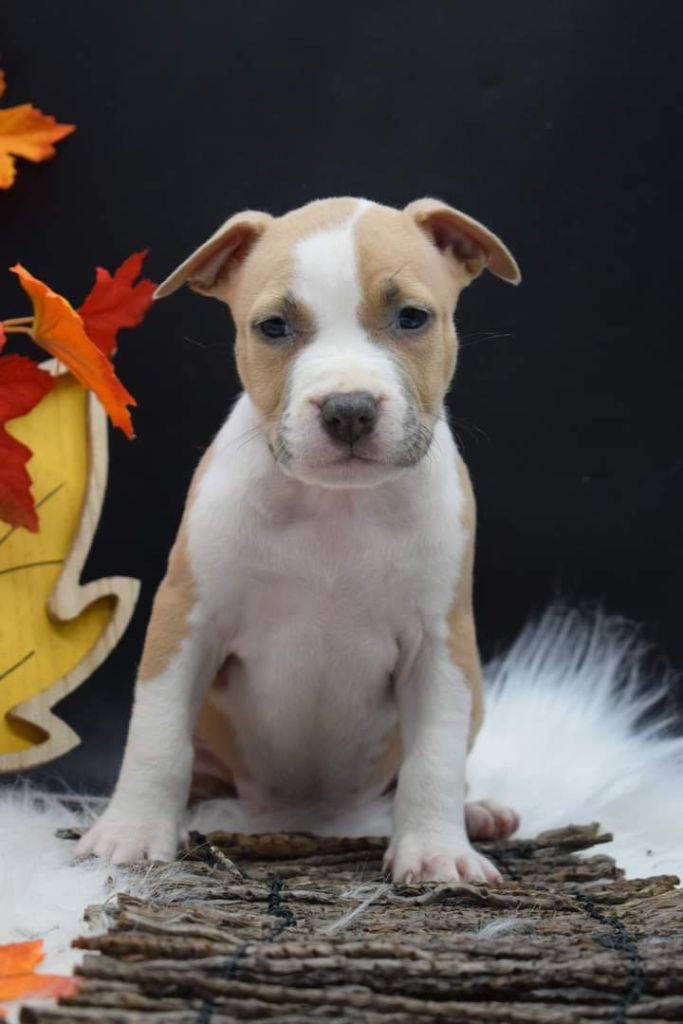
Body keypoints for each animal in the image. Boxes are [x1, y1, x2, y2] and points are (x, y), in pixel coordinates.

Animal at [77, 197, 521, 883]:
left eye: (412, 318)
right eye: (274, 328)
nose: (348, 409)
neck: (334, 505)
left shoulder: (442, 646)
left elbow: (435, 758)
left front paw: (436, 851)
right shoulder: (187, 618)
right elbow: (156, 733)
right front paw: (131, 832)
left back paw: (478, 813)